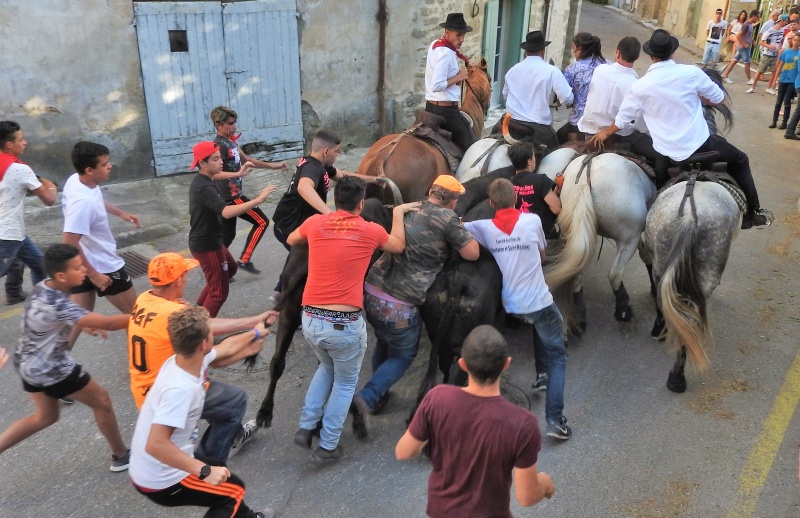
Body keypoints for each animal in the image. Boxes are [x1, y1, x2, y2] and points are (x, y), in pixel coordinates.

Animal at [644, 180, 744, 394]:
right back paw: (677, 377)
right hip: (707, 273)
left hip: (660, 261)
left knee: (661, 298)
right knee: (691, 318)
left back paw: (659, 330)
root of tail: (689, 217)